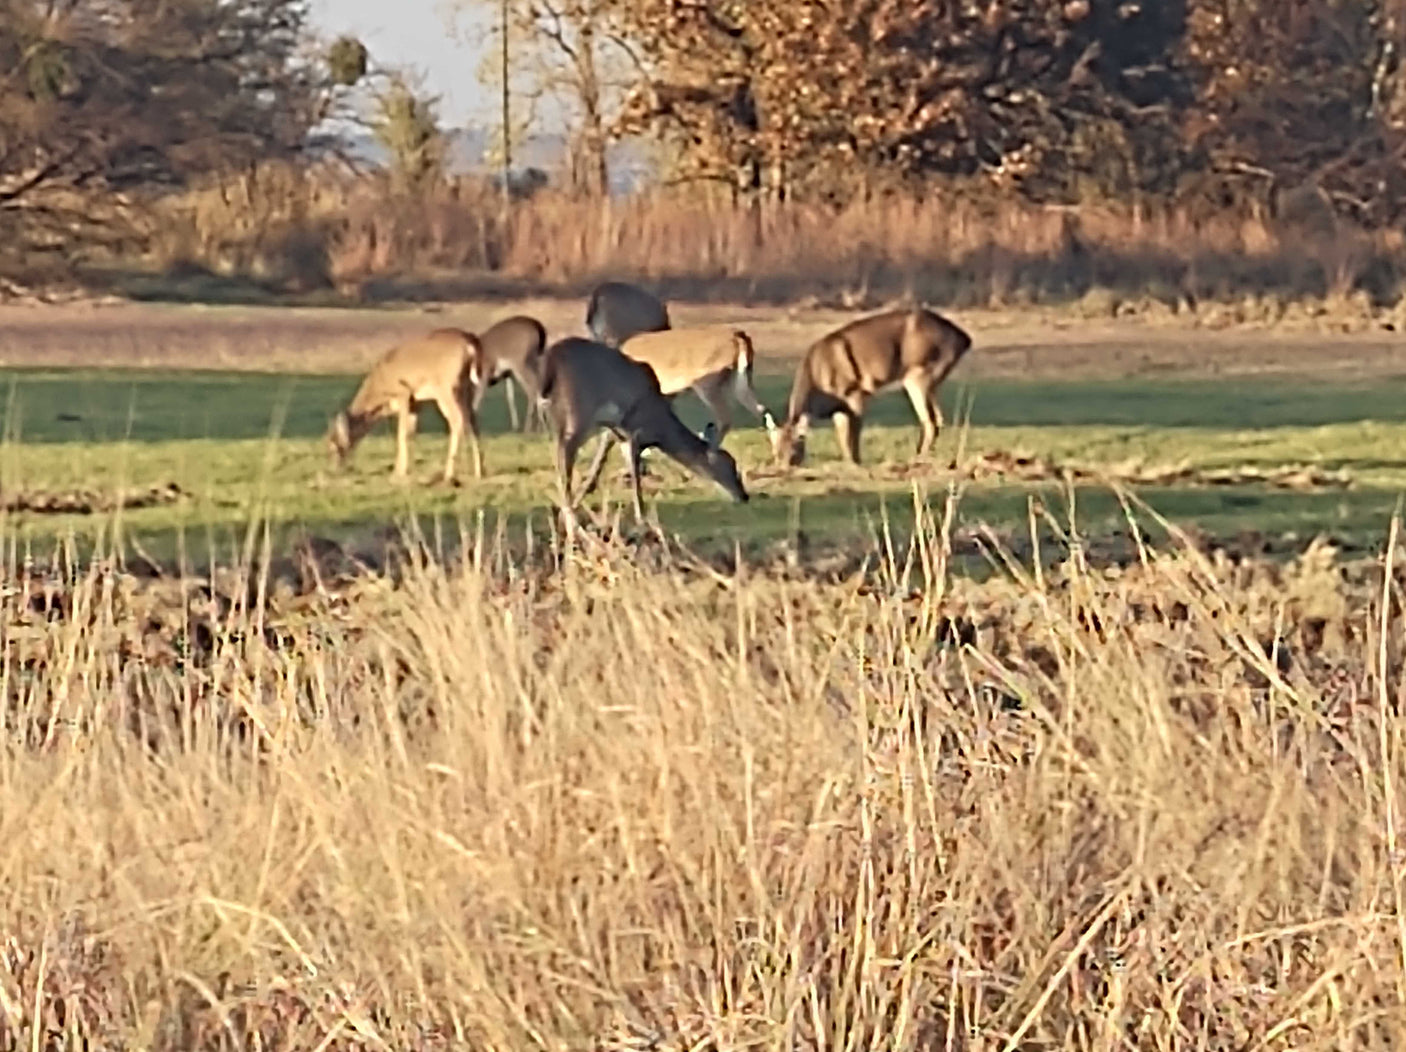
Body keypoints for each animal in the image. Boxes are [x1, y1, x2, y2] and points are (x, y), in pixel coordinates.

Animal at [326, 327, 485, 484]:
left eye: (334, 445)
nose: (334, 470)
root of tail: (471, 342)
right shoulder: (415, 403)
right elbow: (411, 433)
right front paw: (408, 471)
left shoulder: (403, 394)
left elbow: (401, 434)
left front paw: (398, 473)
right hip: (469, 388)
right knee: (474, 422)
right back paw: (479, 472)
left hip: (447, 389)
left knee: (457, 421)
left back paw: (449, 475)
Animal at [537, 336, 750, 522]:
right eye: (730, 465)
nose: (744, 496)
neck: (660, 427)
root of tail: (554, 354)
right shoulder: (634, 432)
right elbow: (635, 472)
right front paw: (641, 516)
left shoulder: (620, 433)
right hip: (581, 410)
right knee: (566, 449)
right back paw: (568, 511)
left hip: (556, 412)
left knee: (558, 449)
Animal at [770, 307, 973, 467]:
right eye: (776, 452)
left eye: (793, 452)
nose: (783, 467)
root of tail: (965, 339)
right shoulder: (839, 406)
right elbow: (842, 434)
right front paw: (847, 461)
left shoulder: (856, 392)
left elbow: (854, 431)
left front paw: (856, 461)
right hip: (930, 381)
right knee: (938, 418)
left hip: (918, 375)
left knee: (930, 420)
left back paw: (917, 459)